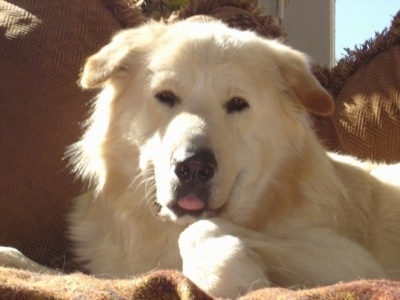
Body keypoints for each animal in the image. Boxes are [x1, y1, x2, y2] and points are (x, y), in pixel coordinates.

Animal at [0, 19, 400, 298]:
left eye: (237, 104)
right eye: (166, 97)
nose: (193, 167)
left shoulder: (355, 262)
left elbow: (199, 230)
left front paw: (234, 277)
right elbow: (55, 272)